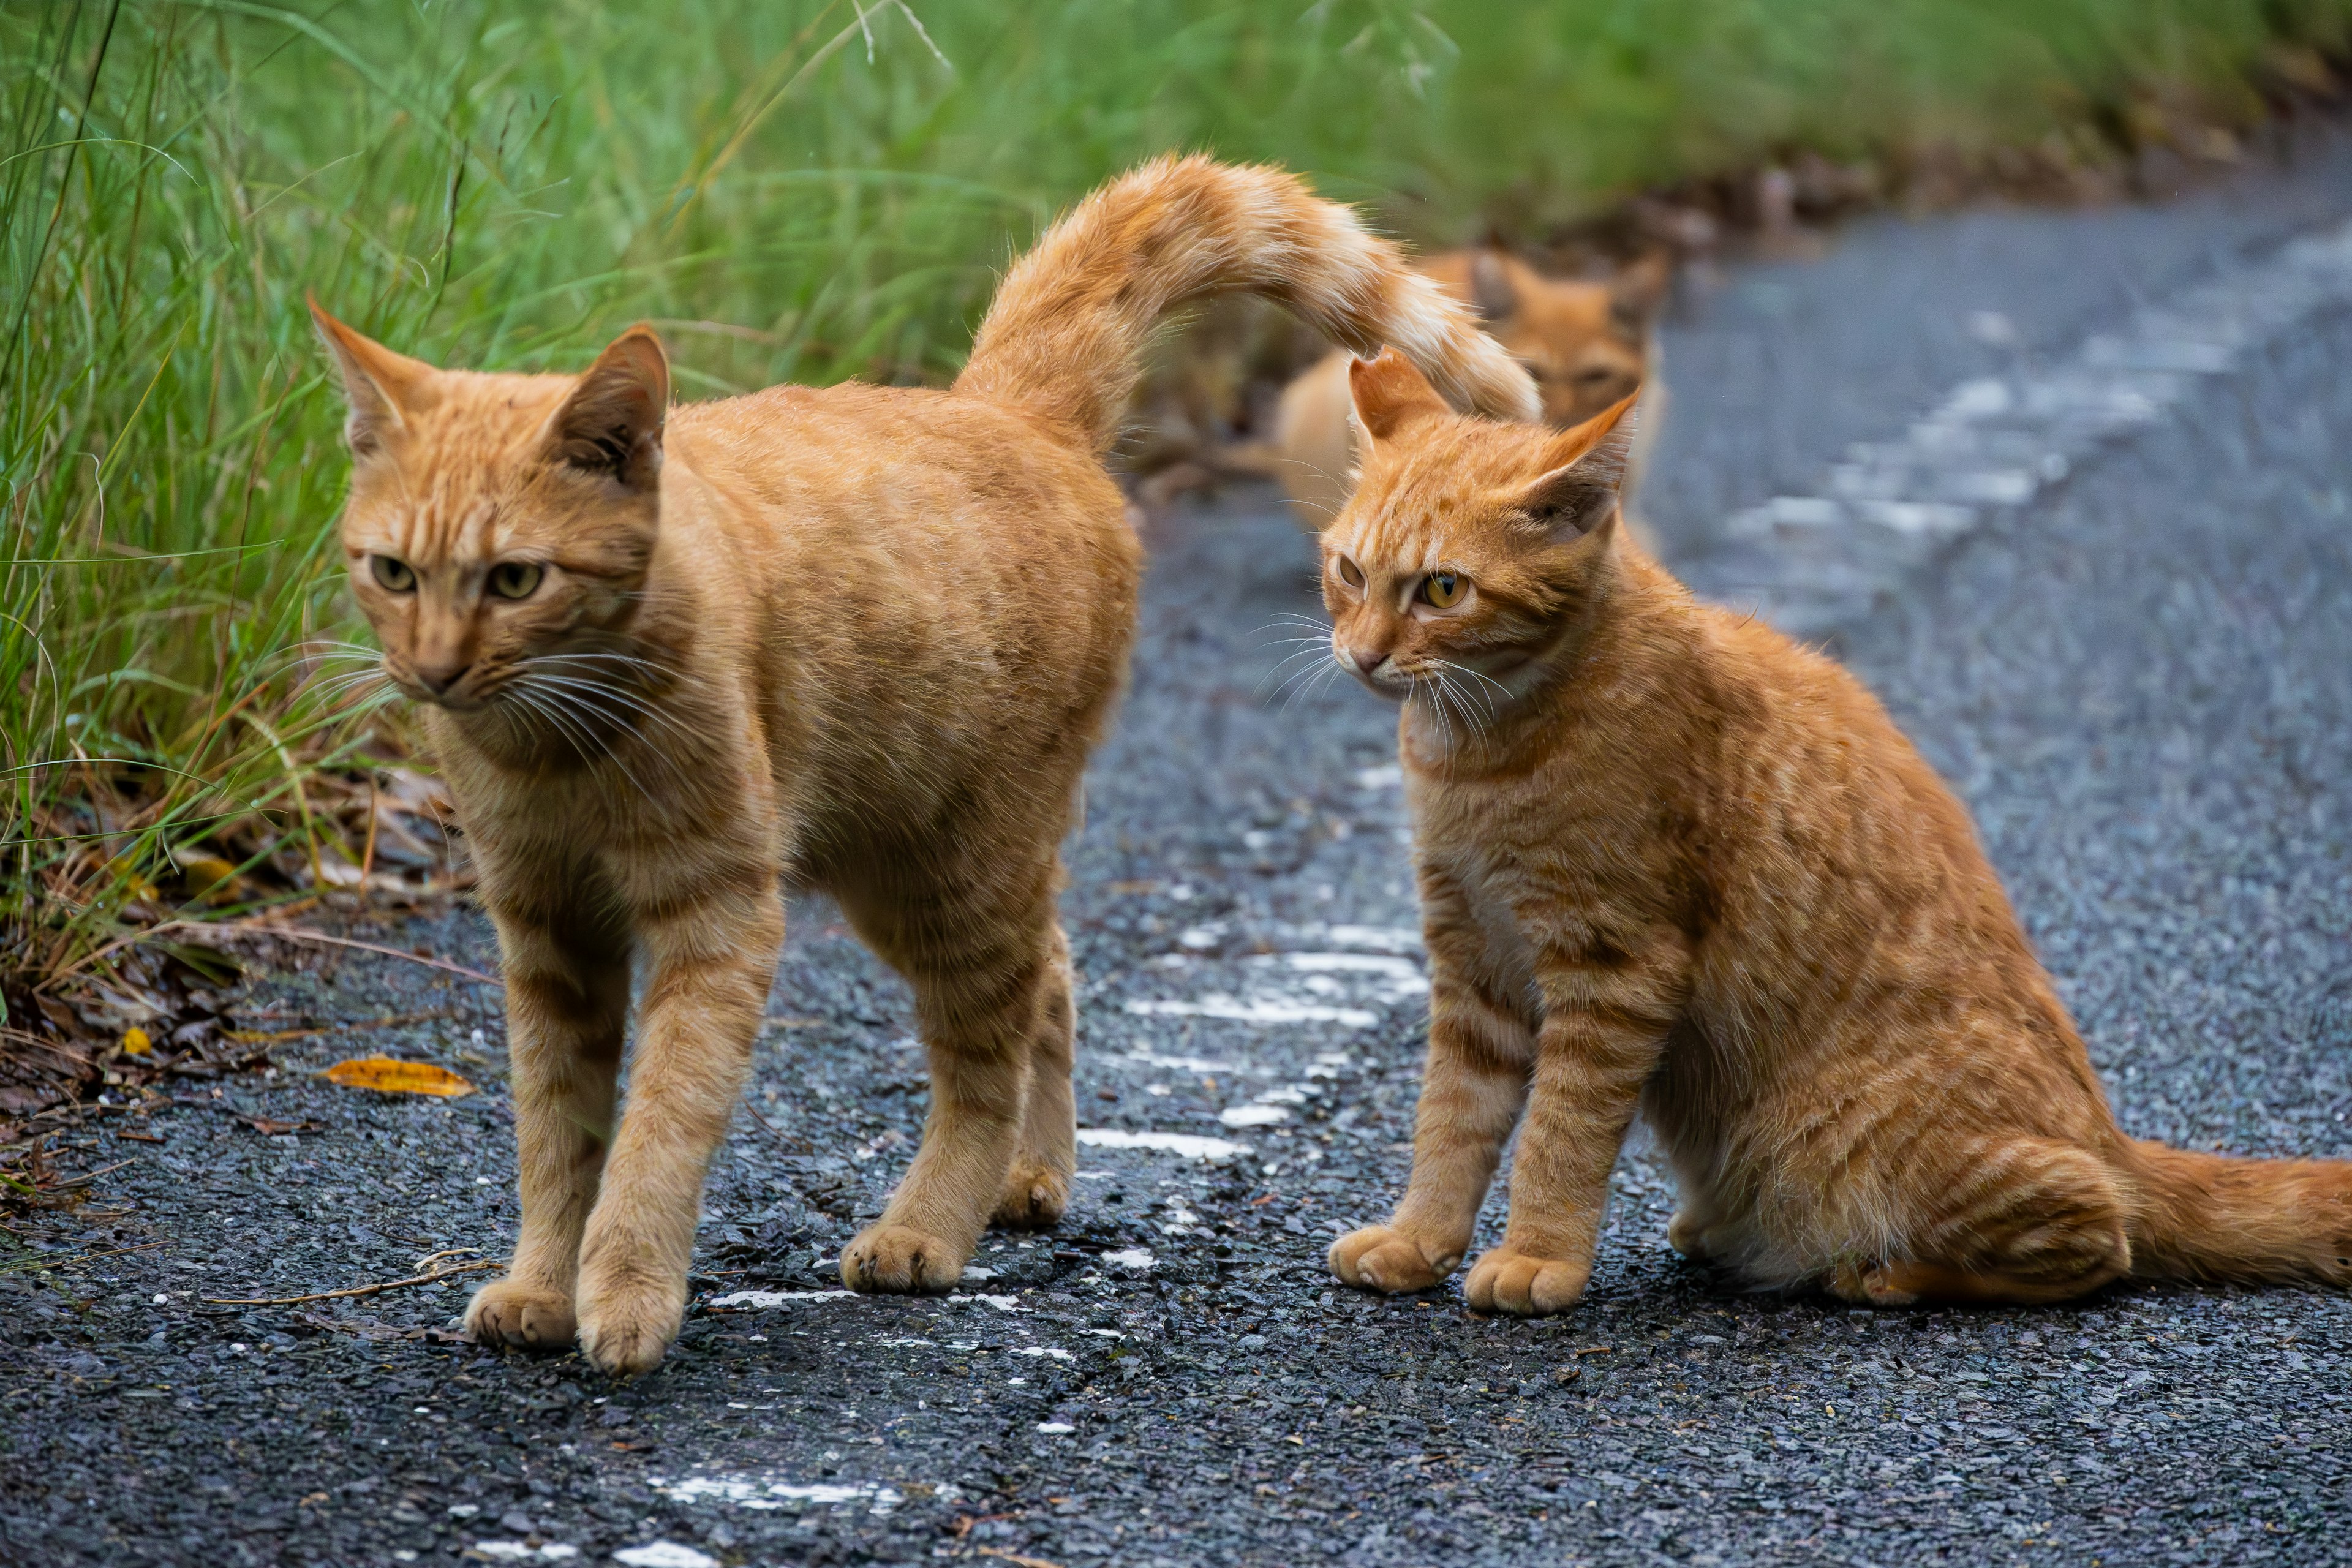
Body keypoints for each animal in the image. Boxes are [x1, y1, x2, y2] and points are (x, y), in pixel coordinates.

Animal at [308, 156, 1543, 1373]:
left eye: (516, 579)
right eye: (392, 572)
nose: (433, 671)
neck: (557, 745)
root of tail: (1002, 406)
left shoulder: (717, 918)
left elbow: (660, 1123)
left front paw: (626, 1295)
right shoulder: (544, 933)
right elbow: (556, 1136)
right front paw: (539, 1285)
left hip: (951, 865)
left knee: (988, 1050)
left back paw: (931, 1226)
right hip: (909, 862)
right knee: (1053, 971)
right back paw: (1030, 1179)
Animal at [1326, 352, 2352, 1316]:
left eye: (1442, 590)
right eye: (1349, 572)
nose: (1363, 654)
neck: (1475, 755)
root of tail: (2110, 1135)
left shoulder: (1614, 967)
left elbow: (1558, 1134)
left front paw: (1539, 1254)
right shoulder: (1474, 963)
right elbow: (1451, 1120)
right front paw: (1418, 1240)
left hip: (1855, 1145)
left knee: (2100, 1238)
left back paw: (1884, 1273)